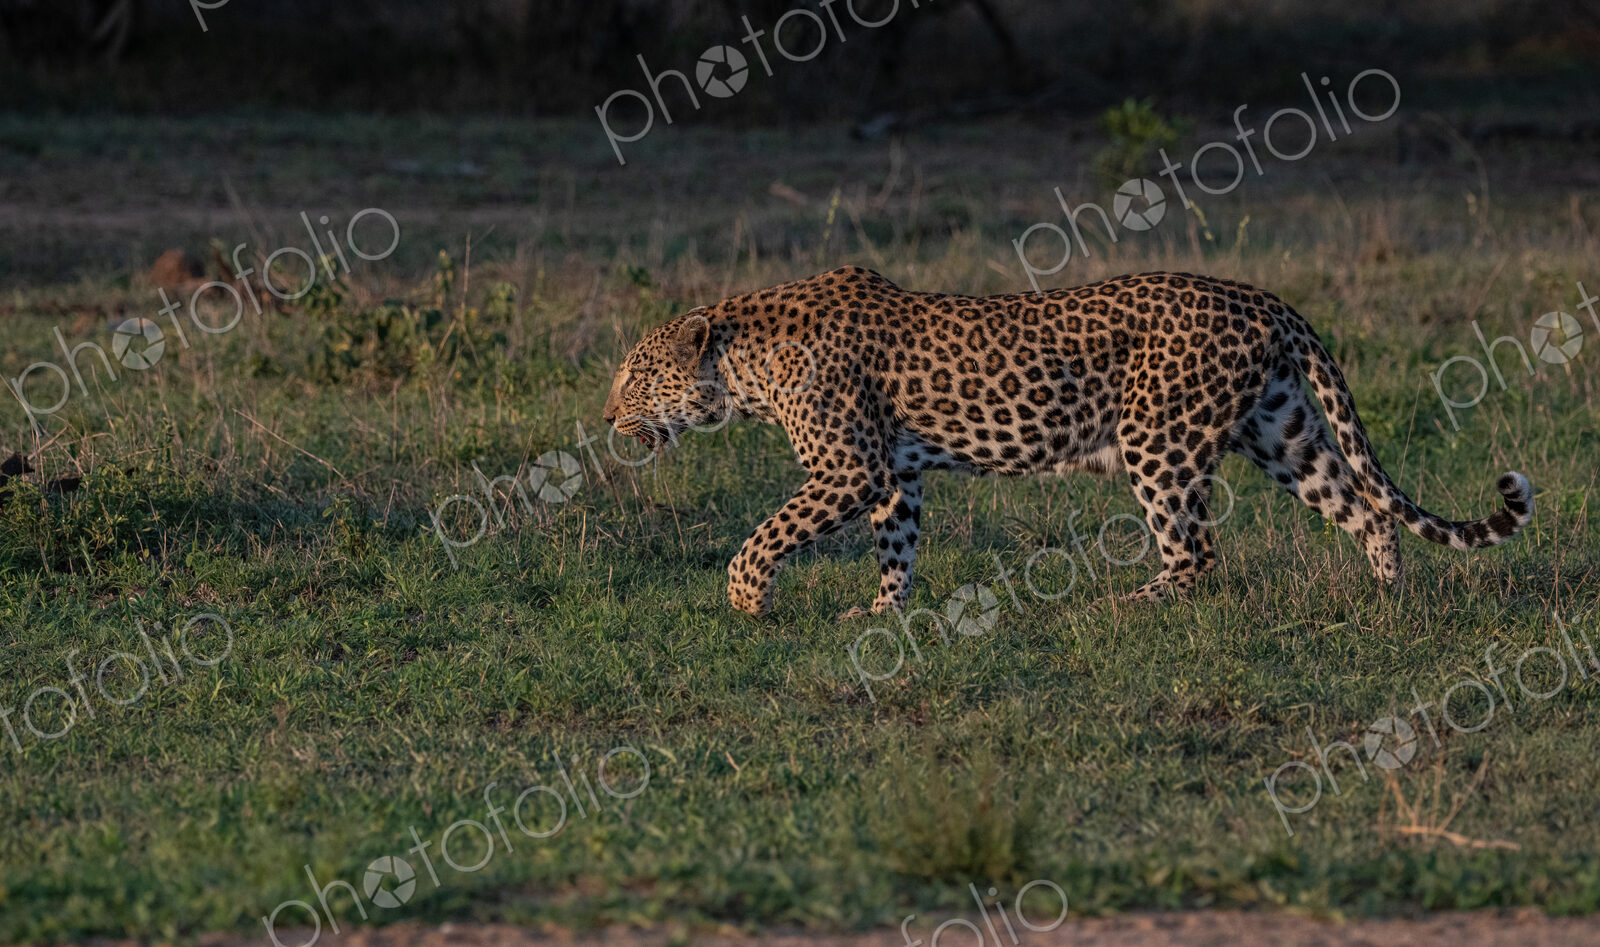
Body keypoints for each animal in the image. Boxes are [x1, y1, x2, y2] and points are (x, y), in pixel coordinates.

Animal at [602, 266, 1534, 618]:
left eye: (636, 375)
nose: (608, 420)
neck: (745, 363)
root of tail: (1262, 296)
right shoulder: (894, 474)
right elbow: (896, 546)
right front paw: (884, 611)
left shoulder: (849, 467)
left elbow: (764, 534)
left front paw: (746, 598)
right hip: (1280, 429)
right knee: (1364, 508)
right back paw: (1387, 599)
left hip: (1157, 437)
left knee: (1197, 551)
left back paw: (1127, 603)